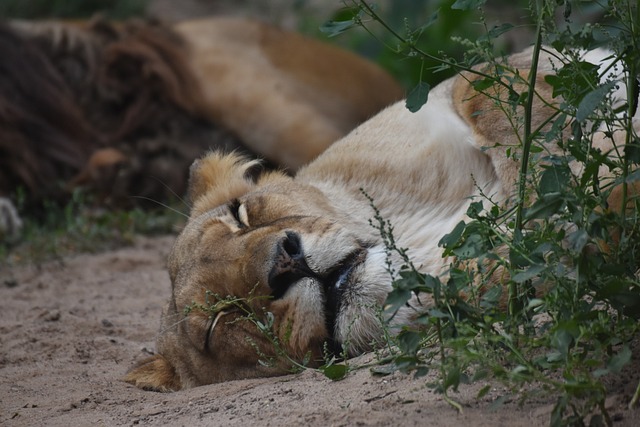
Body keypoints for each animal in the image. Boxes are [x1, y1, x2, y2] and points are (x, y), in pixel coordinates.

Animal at [124, 47, 636, 392]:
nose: (285, 261)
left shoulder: (482, 78)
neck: (417, 236)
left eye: (240, 214)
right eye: (219, 322)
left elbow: (509, 113)